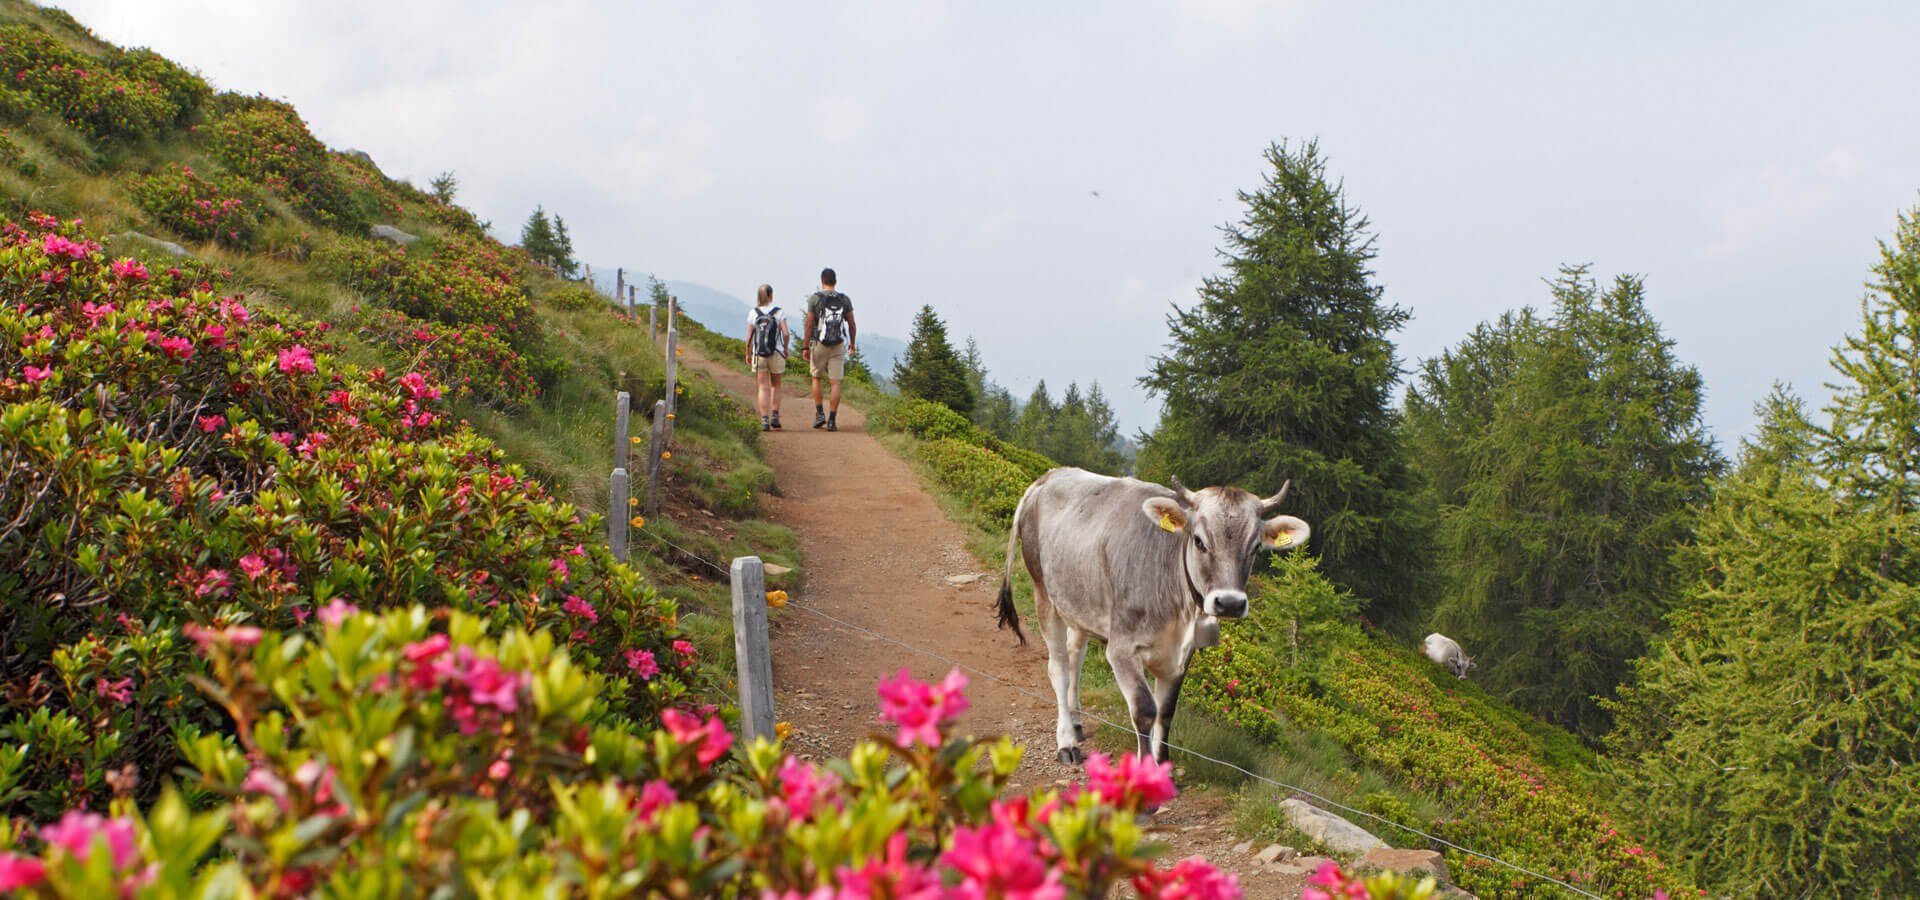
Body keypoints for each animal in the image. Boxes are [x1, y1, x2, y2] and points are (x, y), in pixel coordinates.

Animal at [998, 466, 1313, 759]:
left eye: (1256, 547)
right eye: (1199, 540)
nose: (1230, 603)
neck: (1179, 614)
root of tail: (1050, 475)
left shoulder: (1180, 658)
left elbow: (1167, 712)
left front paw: (1163, 768)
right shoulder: (1122, 648)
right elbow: (1146, 710)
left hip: (1079, 602)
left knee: (1076, 657)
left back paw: (1076, 723)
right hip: (1043, 591)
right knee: (1059, 667)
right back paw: (1066, 742)